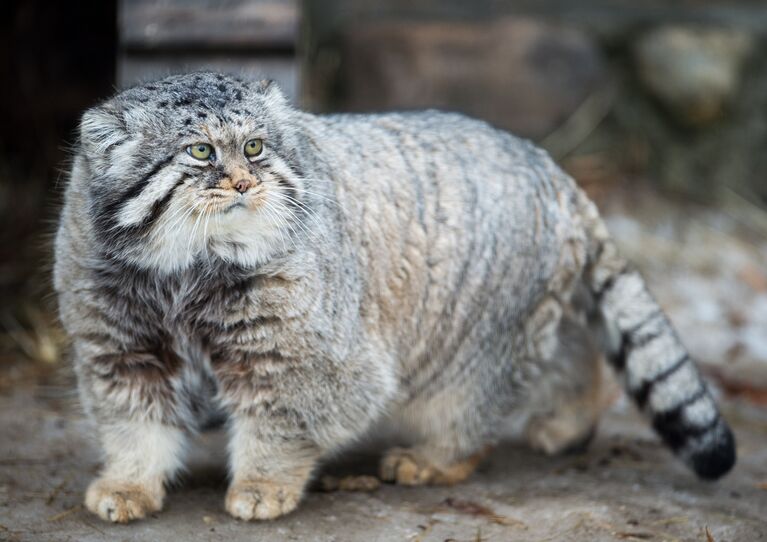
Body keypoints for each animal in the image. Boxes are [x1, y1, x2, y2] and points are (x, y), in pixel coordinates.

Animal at [55, 74, 736, 524]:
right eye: (200, 151)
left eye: (254, 147)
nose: (247, 182)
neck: (182, 271)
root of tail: (560, 172)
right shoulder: (120, 346)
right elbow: (133, 425)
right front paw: (128, 484)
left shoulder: (304, 357)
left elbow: (280, 421)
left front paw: (264, 483)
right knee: (573, 354)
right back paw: (568, 422)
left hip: (469, 346)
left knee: (475, 408)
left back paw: (435, 458)